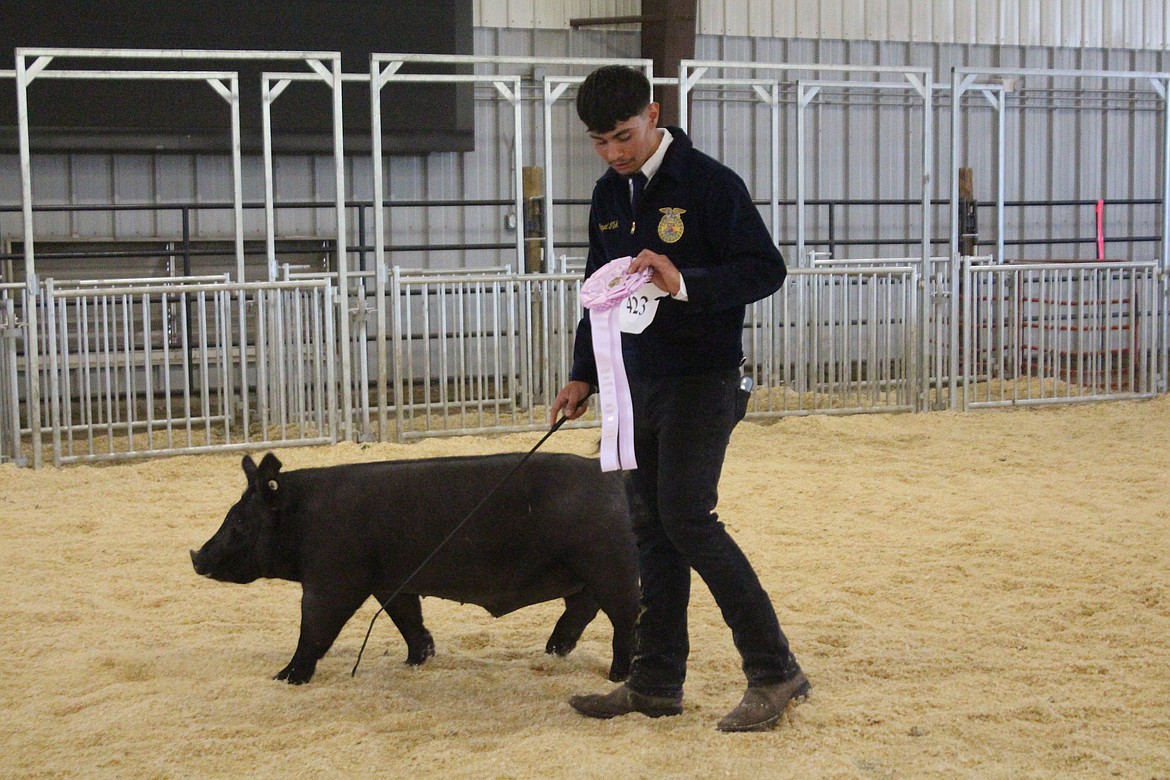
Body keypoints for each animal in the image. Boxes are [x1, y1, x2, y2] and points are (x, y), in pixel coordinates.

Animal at [191, 451, 641, 682]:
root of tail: (613, 478)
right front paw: (416, 659)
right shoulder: (391, 582)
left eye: (239, 523)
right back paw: (553, 650)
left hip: (610, 564)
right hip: (589, 571)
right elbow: (407, 618)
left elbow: (315, 627)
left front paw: (285, 677)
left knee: (625, 619)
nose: (196, 557)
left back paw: (617, 676)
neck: (303, 517)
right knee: (583, 608)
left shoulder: (334, 578)